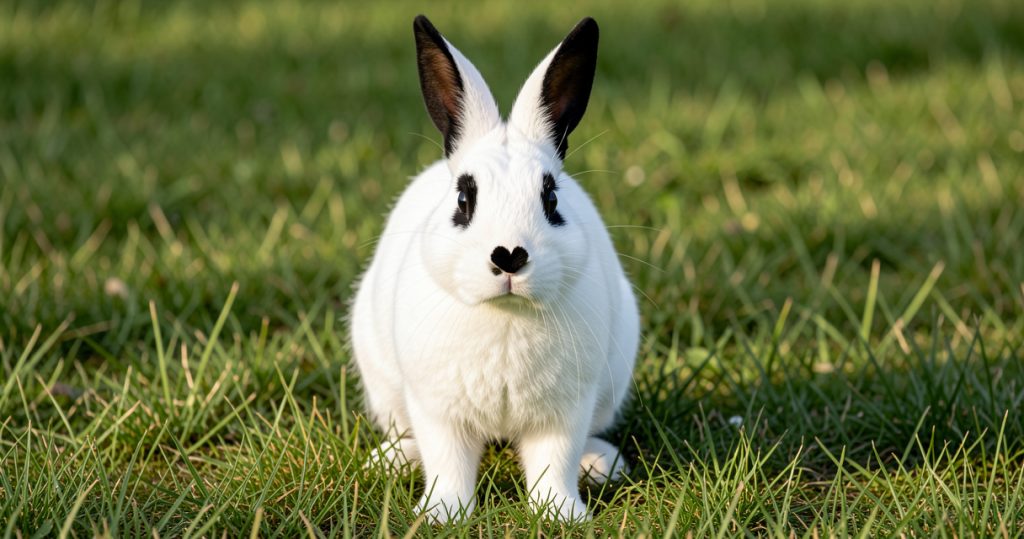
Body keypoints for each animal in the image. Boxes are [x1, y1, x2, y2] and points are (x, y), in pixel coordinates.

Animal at [349, 14, 639, 524]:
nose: (508, 256)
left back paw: (602, 464)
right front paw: (443, 515)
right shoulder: (438, 410)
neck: (506, 314)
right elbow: (448, 463)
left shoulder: (566, 410)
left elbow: (554, 463)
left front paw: (561, 515)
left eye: (551, 199)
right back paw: (391, 462)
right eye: (464, 200)